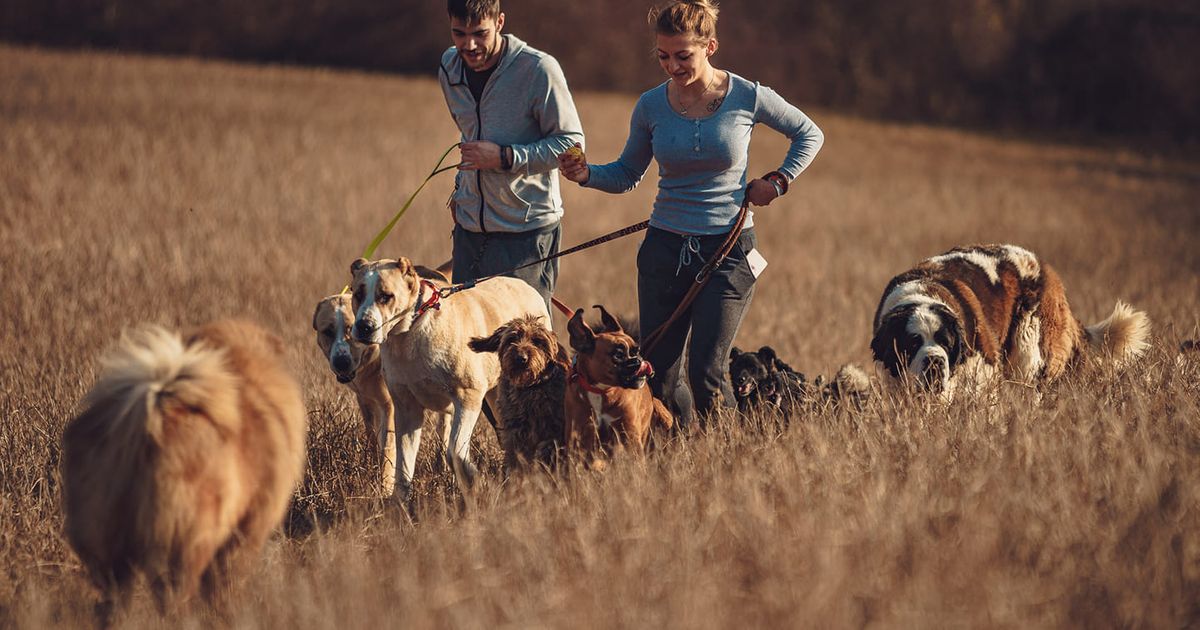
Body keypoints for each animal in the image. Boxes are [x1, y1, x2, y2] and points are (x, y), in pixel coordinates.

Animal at [62, 316, 307, 612]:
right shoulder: (247, 528)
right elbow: (226, 583)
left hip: (105, 541)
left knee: (114, 600)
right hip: (188, 536)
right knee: (174, 594)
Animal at [350, 258, 549, 499]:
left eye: (386, 296)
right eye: (357, 294)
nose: (364, 326)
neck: (412, 330)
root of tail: (527, 288)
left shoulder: (468, 396)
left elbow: (455, 451)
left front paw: (475, 482)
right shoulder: (407, 408)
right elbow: (404, 464)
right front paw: (399, 503)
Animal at [468, 314, 566, 470]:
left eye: (537, 341)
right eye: (511, 339)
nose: (521, 358)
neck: (529, 387)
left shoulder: (552, 428)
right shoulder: (515, 429)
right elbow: (516, 455)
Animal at [564, 304, 676, 460]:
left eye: (637, 351)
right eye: (618, 355)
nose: (638, 360)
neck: (601, 391)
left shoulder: (629, 435)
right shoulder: (580, 435)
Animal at [873, 243, 1152, 400]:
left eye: (947, 343)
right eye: (912, 343)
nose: (935, 360)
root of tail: (1047, 270)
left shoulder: (983, 374)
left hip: (1029, 350)